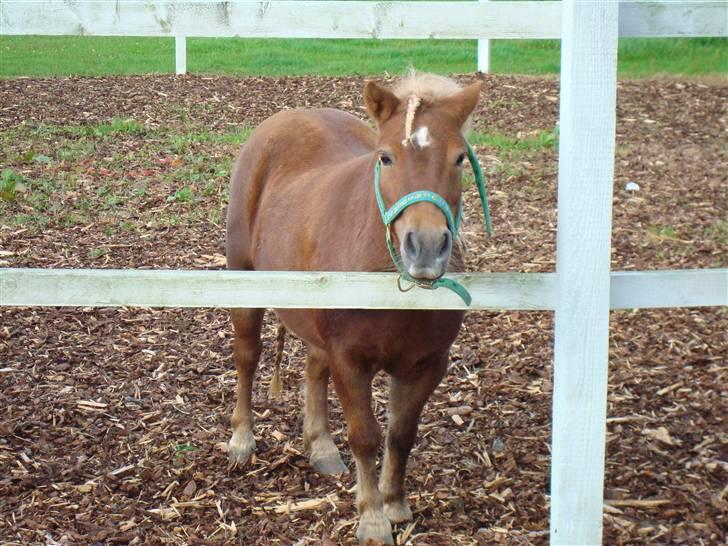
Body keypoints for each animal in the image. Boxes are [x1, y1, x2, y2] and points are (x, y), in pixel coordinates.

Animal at [225, 73, 480, 544]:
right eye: (386, 157)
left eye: (459, 159)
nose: (426, 248)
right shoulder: (350, 361)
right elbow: (365, 436)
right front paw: (373, 519)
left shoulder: (427, 365)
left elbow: (400, 435)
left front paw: (395, 503)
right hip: (244, 281)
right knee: (247, 358)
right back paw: (242, 440)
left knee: (313, 367)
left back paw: (321, 446)